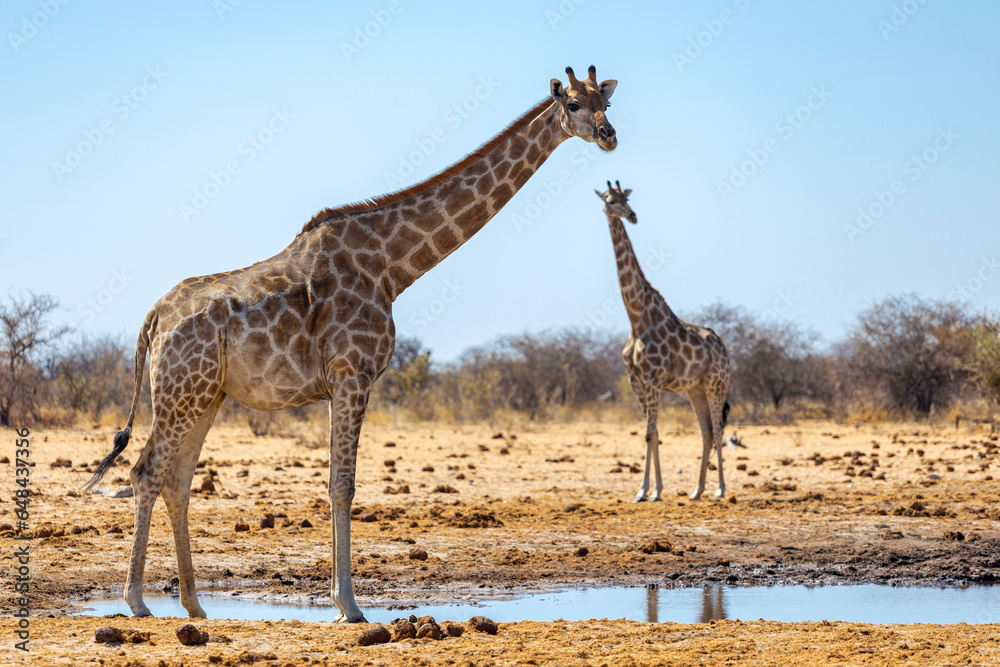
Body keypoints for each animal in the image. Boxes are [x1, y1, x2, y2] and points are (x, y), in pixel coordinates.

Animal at [85, 66, 619, 623]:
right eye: (573, 104)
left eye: (606, 102)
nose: (610, 136)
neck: (393, 268)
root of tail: (154, 317)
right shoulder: (352, 373)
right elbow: (343, 483)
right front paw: (350, 605)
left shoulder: (341, 381)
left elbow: (336, 482)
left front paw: (342, 602)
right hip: (179, 391)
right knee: (146, 472)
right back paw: (137, 601)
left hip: (206, 394)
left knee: (176, 480)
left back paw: (193, 605)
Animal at [595, 181, 732, 502]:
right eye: (609, 200)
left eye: (626, 198)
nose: (632, 215)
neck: (636, 316)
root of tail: (725, 350)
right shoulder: (637, 381)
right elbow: (652, 433)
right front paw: (647, 490)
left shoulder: (654, 380)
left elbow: (651, 433)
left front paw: (651, 491)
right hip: (695, 389)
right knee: (706, 431)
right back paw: (696, 490)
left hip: (716, 384)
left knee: (719, 429)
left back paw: (720, 489)